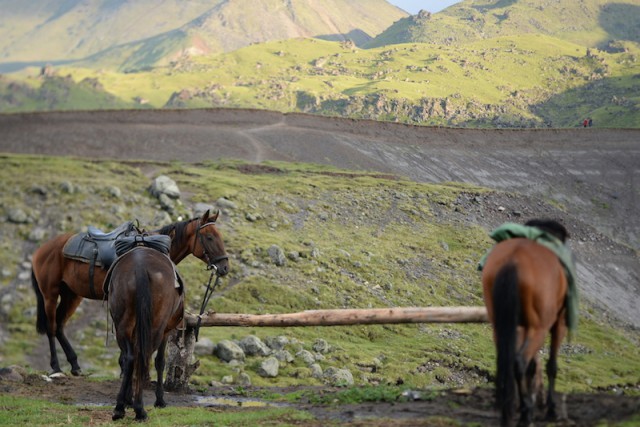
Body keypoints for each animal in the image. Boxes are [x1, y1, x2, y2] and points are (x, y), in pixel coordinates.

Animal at [31, 210, 230, 374]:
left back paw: (74, 365)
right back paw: (56, 366)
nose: (224, 267)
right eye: (209, 237)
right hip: (50, 294)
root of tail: (41, 250)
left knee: (60, 326)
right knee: (51, 327)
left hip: (72, 295)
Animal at [104, 246, 181, 422]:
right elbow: (160, 362)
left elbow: (123, 360)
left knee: (130, 358)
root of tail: (140, 266)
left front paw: (127, 400)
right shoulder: (166, 331)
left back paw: (120, 408)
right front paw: (160, 400)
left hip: (123, 325)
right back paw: (140, 410)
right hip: (156, 327)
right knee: (142, 357)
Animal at [482, 221, 572, 427]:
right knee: (520, 361)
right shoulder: (559, 324)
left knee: (507, 360)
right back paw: (525, 413)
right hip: (539, 328)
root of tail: (513, 260)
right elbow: (551, 365)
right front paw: (551, 409)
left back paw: (509, 412)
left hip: (501, 324)